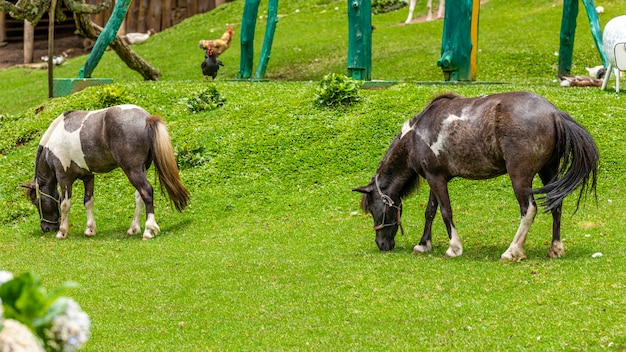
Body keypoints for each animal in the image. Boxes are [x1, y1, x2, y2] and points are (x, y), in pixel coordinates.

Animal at [22, 104, 188, 239]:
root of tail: (146, 118)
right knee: (139, 196)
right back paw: (133, 228)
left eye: (36, 202)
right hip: (142, 169)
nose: (46, 228)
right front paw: (90, 230)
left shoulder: (64, 178)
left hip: (132, 171)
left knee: (146, 191)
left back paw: (148, 230)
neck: (53, 141)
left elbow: (65, 204)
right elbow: (88, 201)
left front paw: (62, 232)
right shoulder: (88, 176)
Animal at [354, 91, 596, 262]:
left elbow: (445, 211)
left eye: (375, 210)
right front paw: (423, 244)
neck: (416, 136)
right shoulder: (435, 178)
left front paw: (454, 247)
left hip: (520, 177)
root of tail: (554, 113)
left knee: (529, 210)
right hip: (548, 172)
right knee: (556, 206)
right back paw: (555, 248)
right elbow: (430, 211)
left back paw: (512, 251)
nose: (381, 244)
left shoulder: (437, 179)